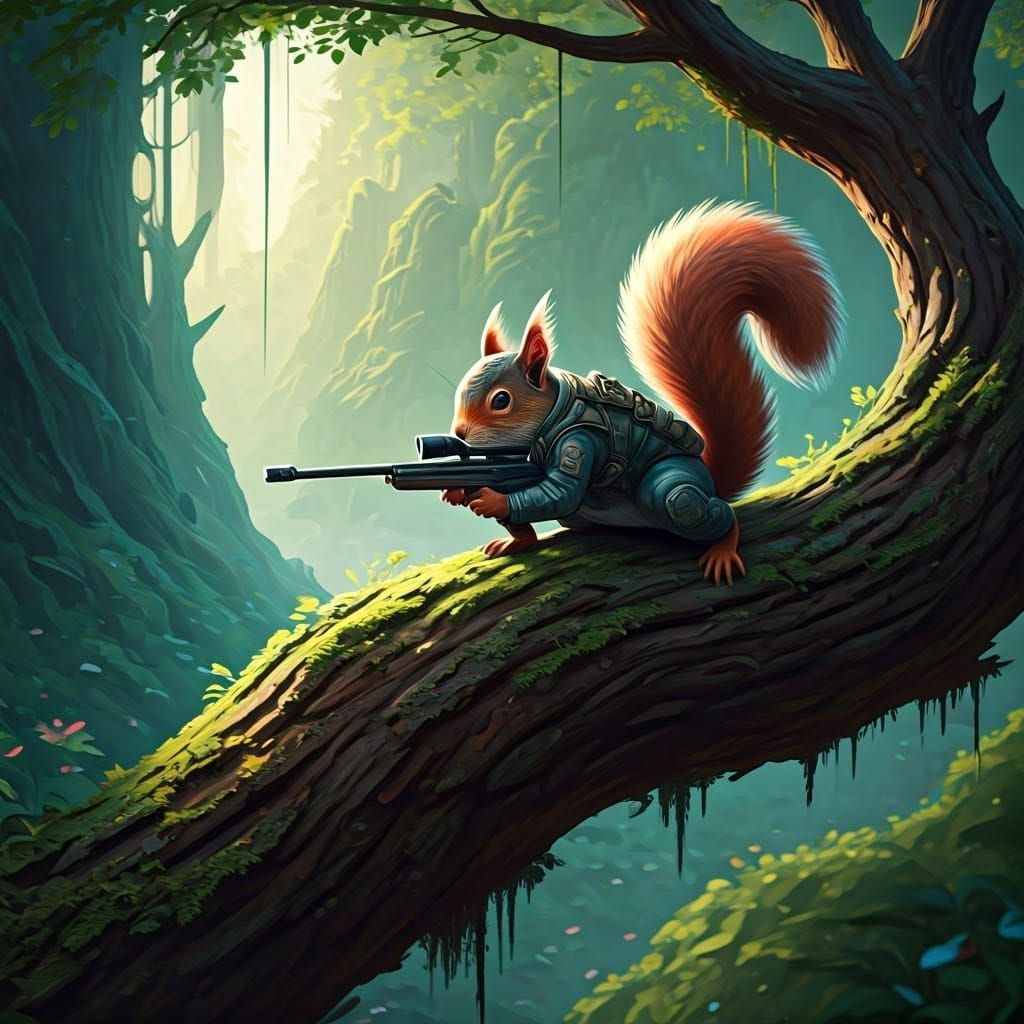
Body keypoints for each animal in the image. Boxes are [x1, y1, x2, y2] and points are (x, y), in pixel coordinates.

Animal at [441, 201, 843, 585]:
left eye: (501, 400)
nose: (458, 434)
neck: (555, 414)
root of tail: (711, 476)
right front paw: (456, 493)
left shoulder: (580, 441)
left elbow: (560, 490)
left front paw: (493, 501)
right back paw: (519, 541)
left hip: (674, 486)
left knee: (690, 503)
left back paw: (725, 546)